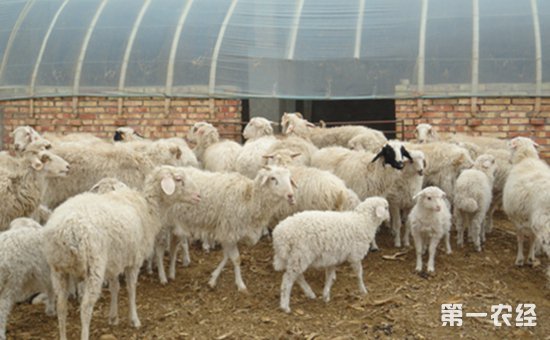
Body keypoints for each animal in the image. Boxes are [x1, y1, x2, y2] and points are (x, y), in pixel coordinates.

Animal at [42, 167, 203, 340]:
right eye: (179, 179)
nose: (198, 196)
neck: (149, 210)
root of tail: (66, 230)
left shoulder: (114, 261)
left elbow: (115, 287)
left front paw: (113, 317)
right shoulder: (134, 261)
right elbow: (131, 289)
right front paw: (134, 319)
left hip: (58, 269)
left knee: (61, 306)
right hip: (94, 267)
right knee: (85, 308)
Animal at [163, 166, 296, 290]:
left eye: (289, 178)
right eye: (273, 178)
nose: (290, 195)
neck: (249, 198)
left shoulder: (228, 233)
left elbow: (227, 256)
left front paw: (213, 279)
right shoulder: (229, 230)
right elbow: (236, 259)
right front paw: (241, 285)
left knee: (174, 246)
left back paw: (172, 271)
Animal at [504, 136, 550, 268]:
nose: (508, 160)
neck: (525, 159)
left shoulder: (515, 216)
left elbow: (520, 238)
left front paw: (520, 260)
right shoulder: (529, 218)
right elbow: (532, 238)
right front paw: (531, 258)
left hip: (544, 222)